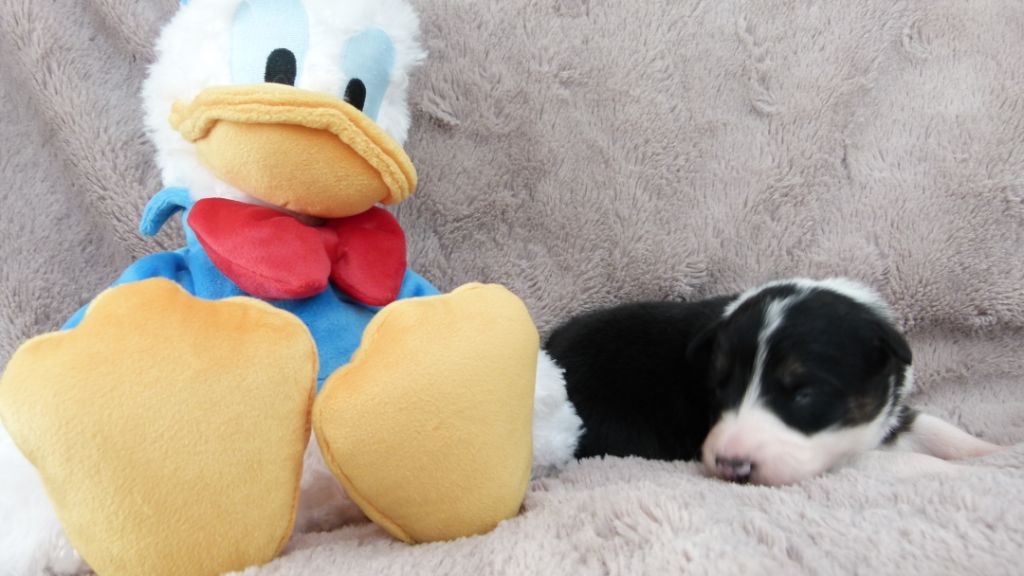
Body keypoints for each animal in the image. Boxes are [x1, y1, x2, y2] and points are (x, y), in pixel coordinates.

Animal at [542, 277, 1001, 485]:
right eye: (720, 387)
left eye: (804, 394)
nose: (732, 466)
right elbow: (882, 459)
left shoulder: (887, 410)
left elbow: (933, 427)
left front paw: (989, 450)